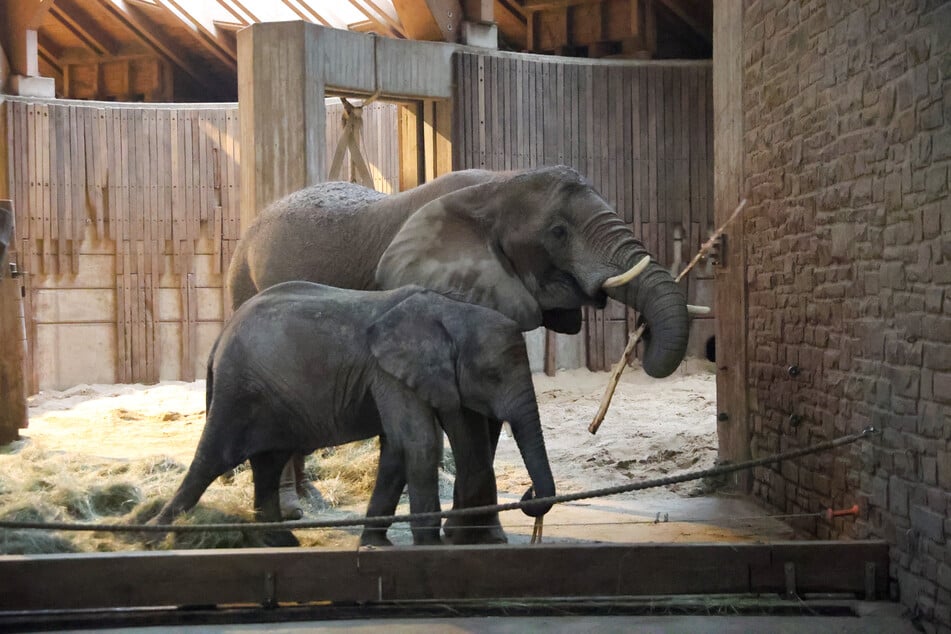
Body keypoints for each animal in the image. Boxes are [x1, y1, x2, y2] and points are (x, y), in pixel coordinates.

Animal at [152, 282, 556, 544]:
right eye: (493, 375)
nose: (529, 493)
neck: (451, 308)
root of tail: (219, 337)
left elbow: (403, 448)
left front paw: (377, 545)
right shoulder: (388, 373)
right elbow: (420, 443)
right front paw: (430, 547)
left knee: (268, 463)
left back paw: (277, 541)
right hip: (239, 389)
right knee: (214, 457)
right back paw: (155, 535)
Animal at [231, 163, 692, 540]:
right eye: (558, 232)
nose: (641, 334)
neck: (500, 185)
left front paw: (483, 535)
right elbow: (462, 413)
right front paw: (471, 537)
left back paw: (310, 500)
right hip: (244, 289)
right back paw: (291, 510)